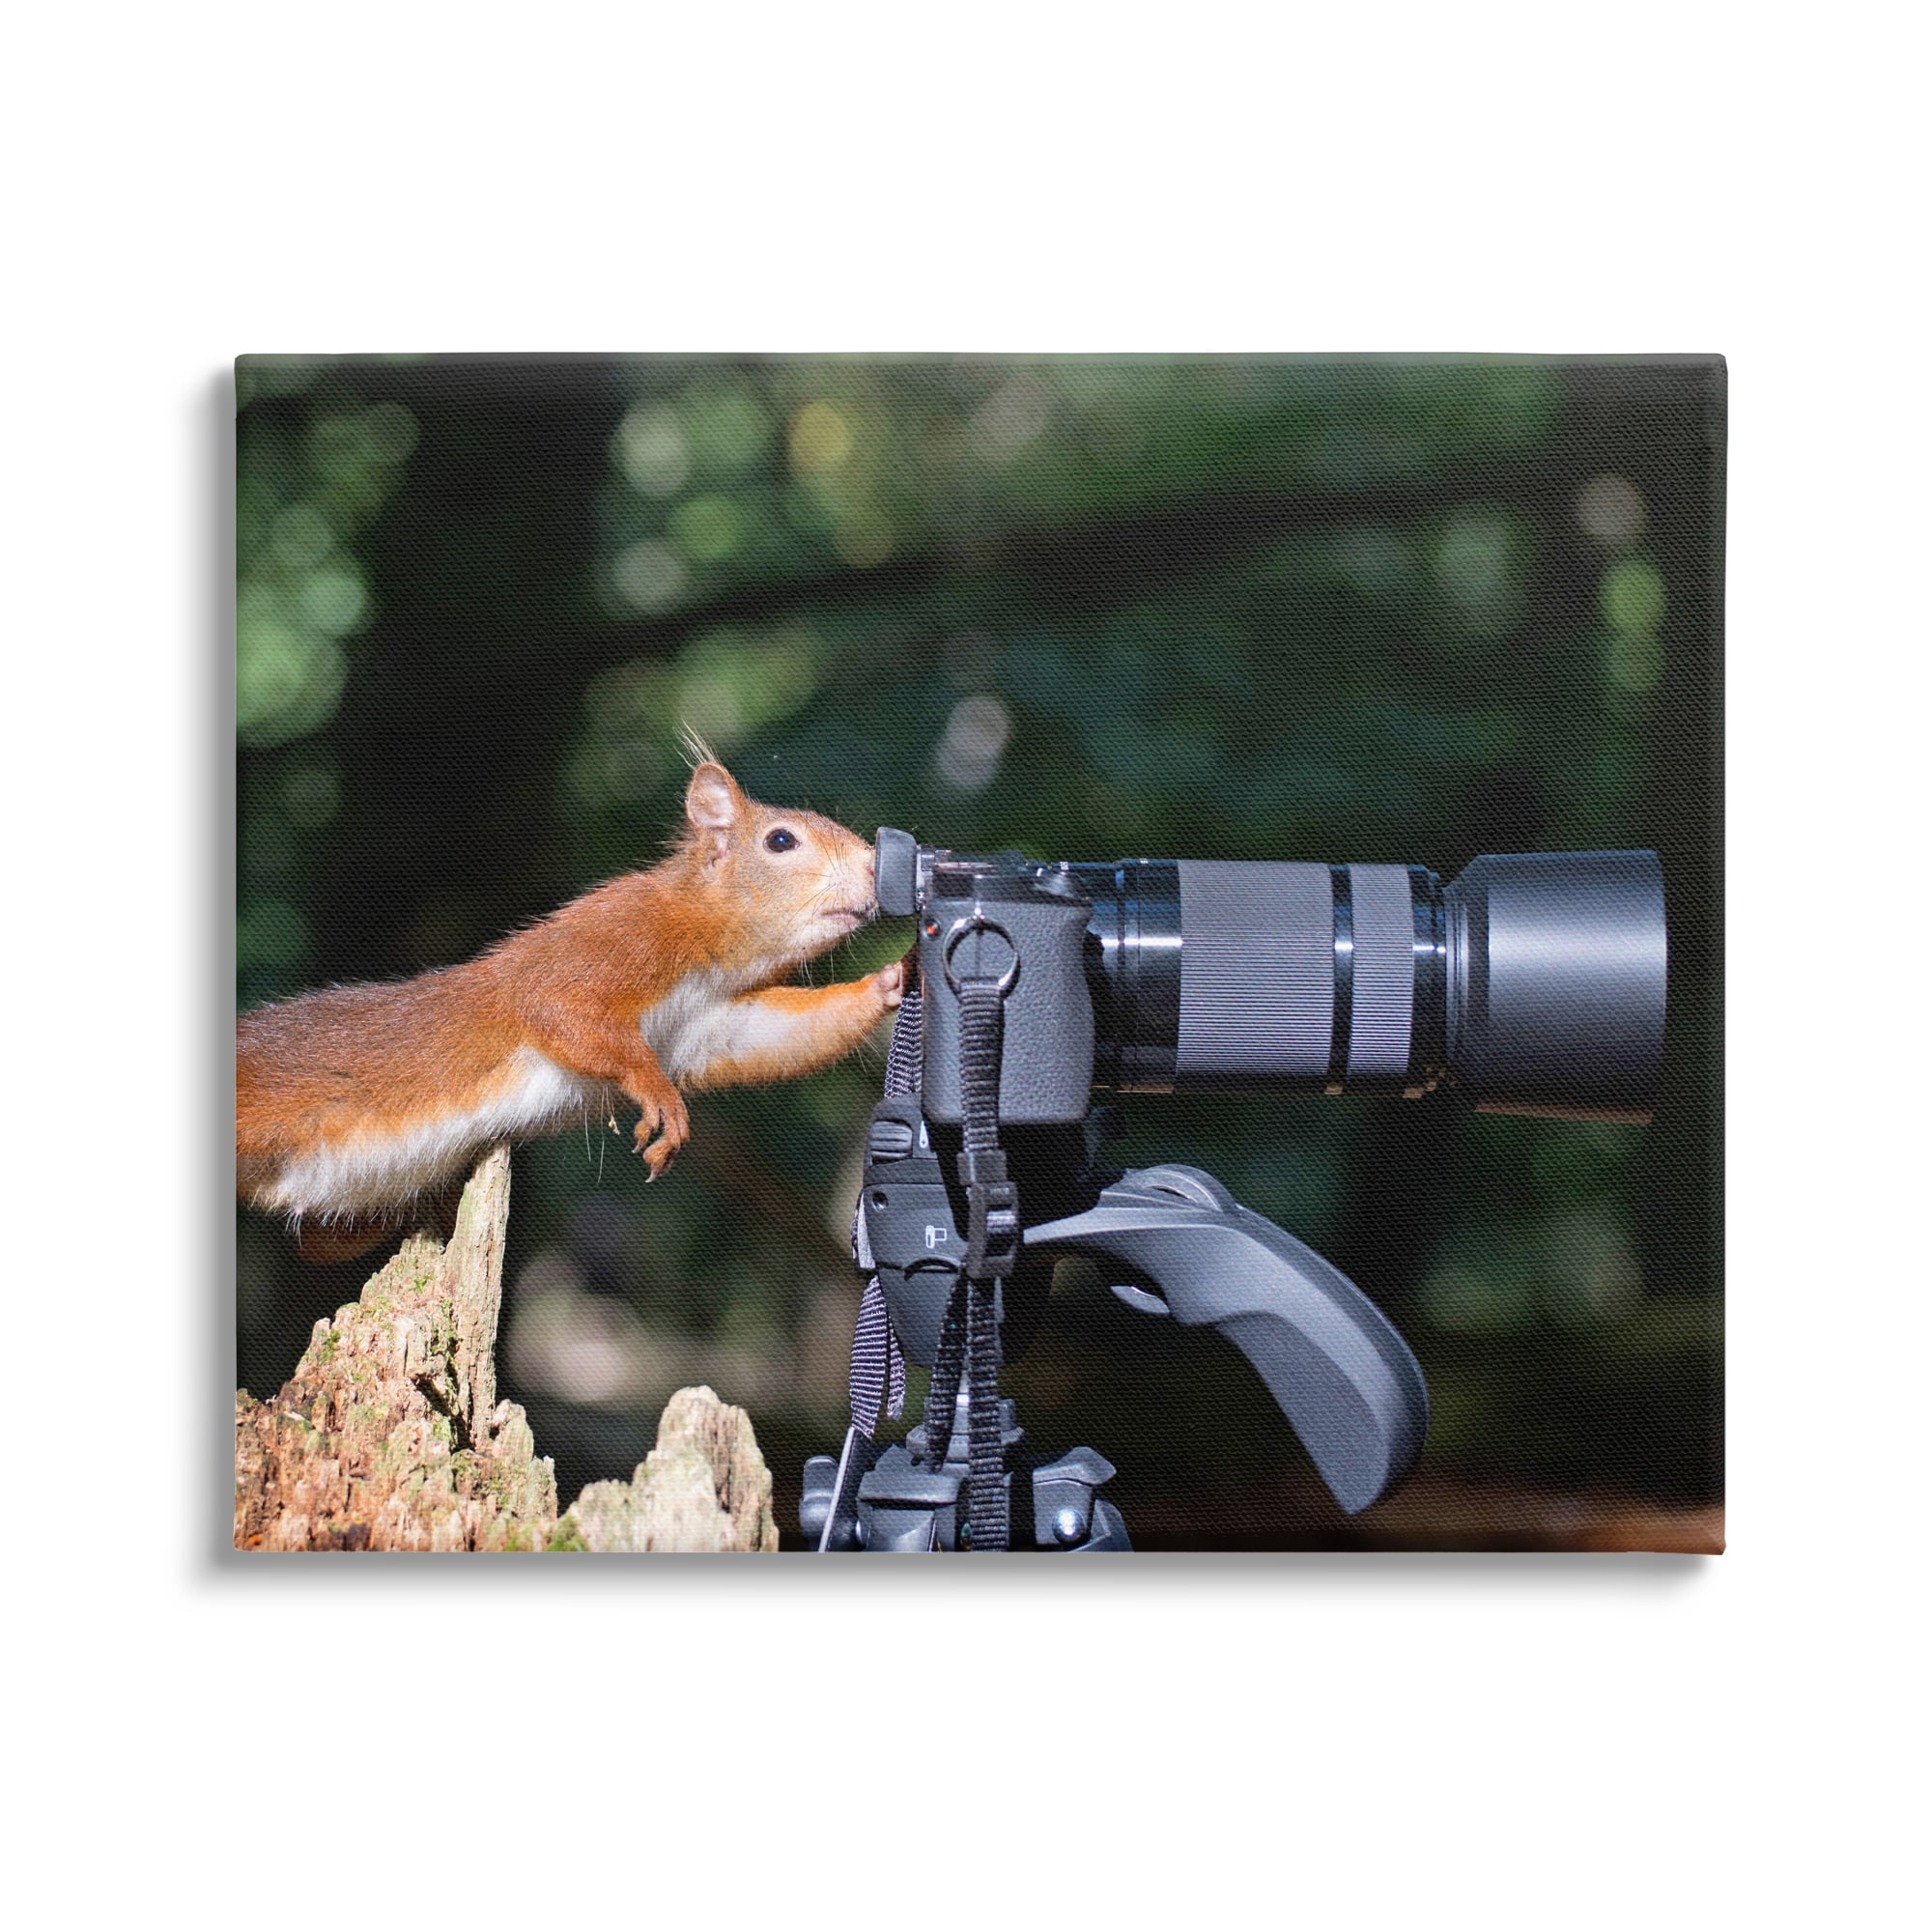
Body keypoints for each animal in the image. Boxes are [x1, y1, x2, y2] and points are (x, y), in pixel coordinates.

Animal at [236, 755, 904, 1260]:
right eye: (781, 840)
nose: (878, 866)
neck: (713, 951)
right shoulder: (604, 942)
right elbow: (558, 1008)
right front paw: (657, 1094)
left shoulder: (710, 1024)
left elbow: (774, 1034)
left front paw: (894, 978)